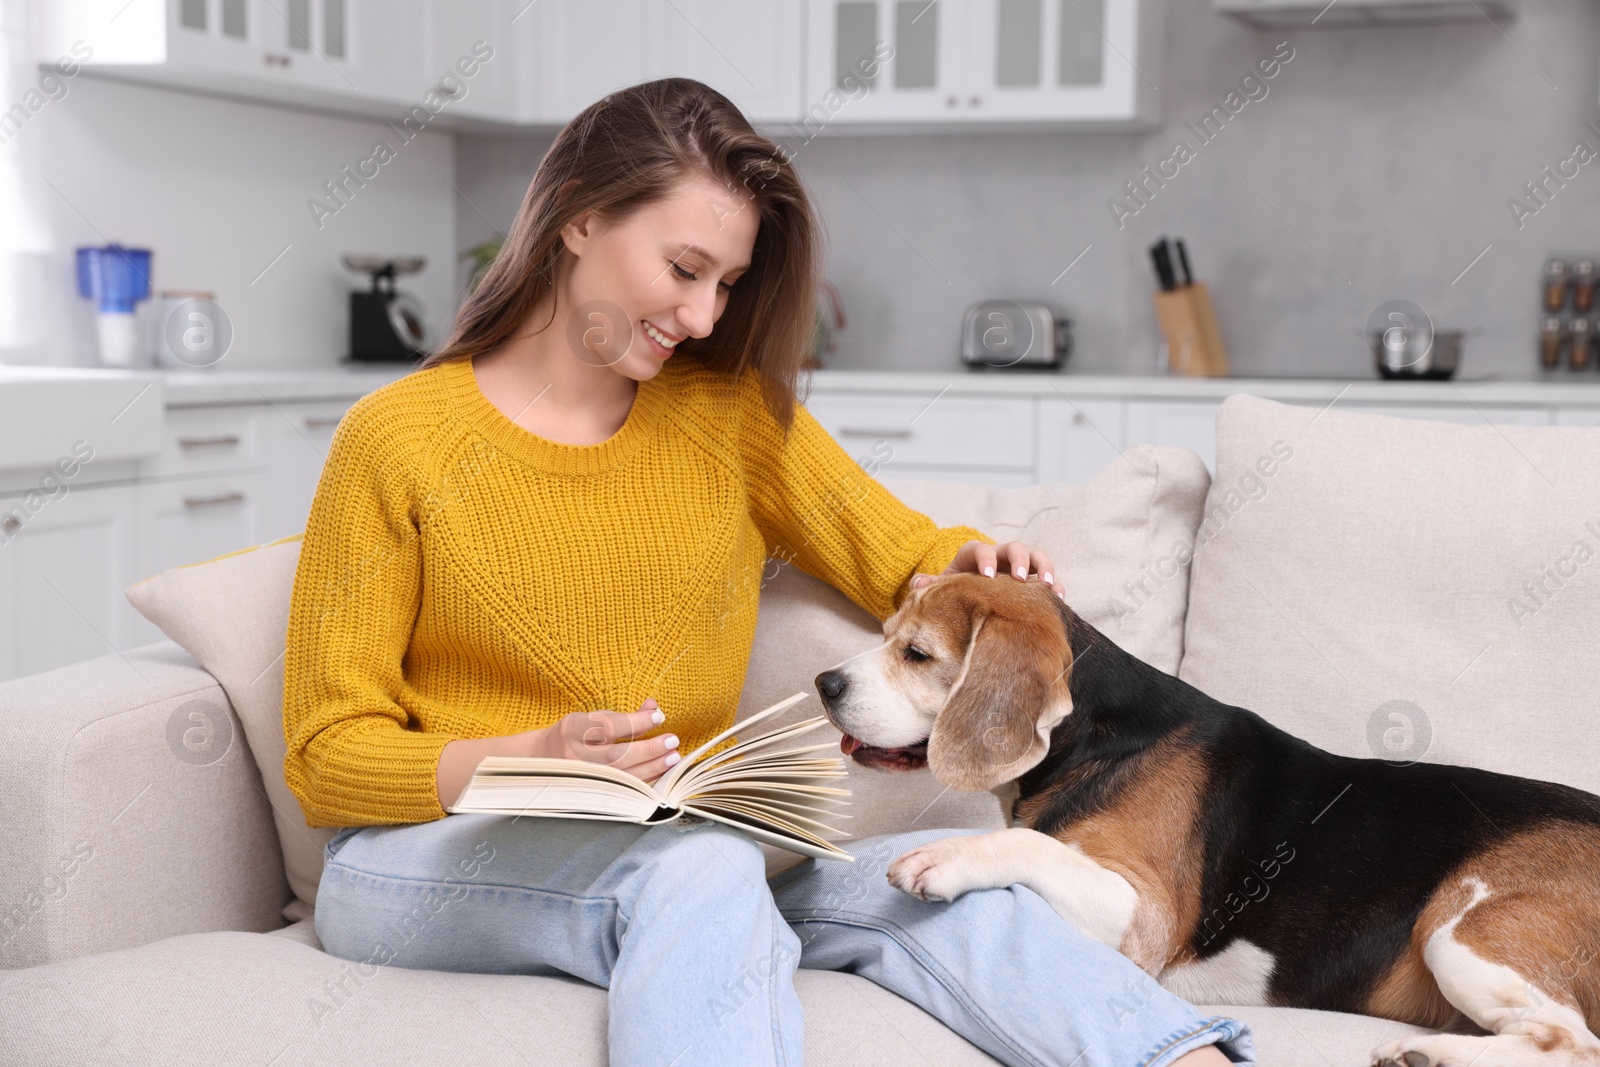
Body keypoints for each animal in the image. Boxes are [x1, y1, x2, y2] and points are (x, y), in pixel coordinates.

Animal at [819, 575, 1600, 1067]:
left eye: (917, 653)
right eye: (884, 634)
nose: (825, 682)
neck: (1101, 740)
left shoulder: (1144, 918)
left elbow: (1026, 843)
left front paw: (946, 856)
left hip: (1461, 932)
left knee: (1572, 1042)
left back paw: (1427, 1054)